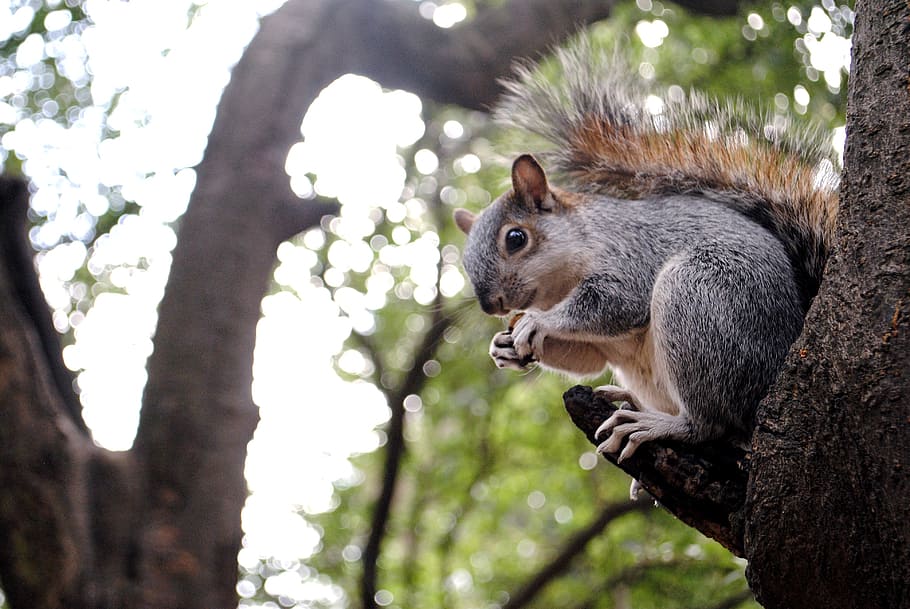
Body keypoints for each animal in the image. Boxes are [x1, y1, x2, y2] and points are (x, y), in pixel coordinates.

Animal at [453, 44, 838, 466]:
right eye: (465, 262)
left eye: (516, 238)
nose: (491, 305)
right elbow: (586, 359)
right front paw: (502, 346)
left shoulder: (631, 254)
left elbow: (613, 303)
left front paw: (538, 322)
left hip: (700, 297)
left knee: (712, 425)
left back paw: (657, 424)